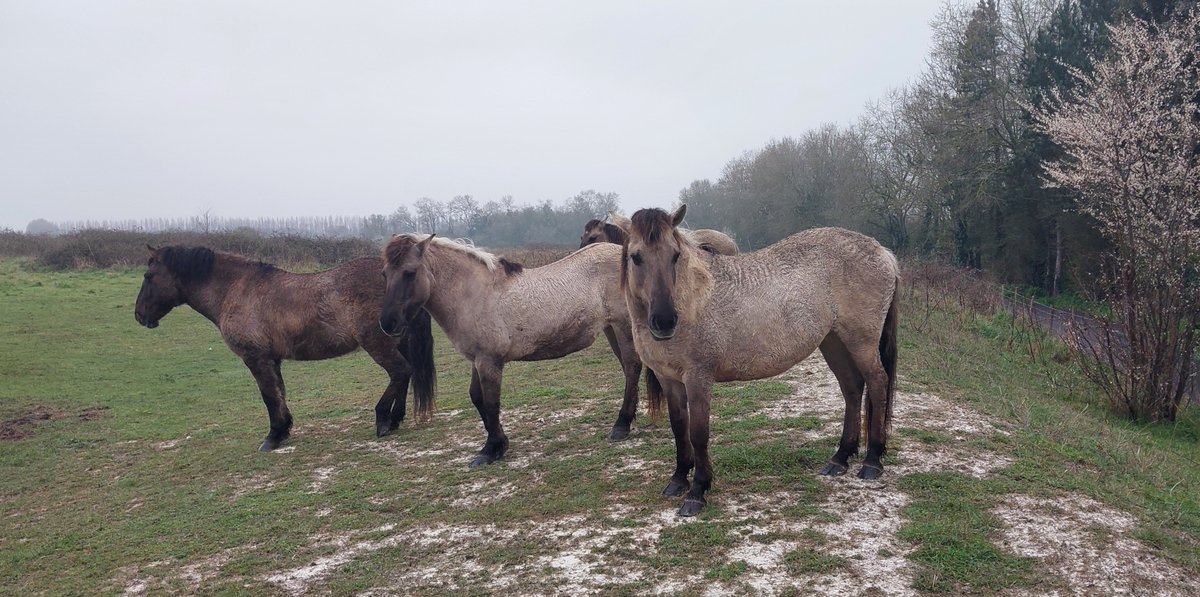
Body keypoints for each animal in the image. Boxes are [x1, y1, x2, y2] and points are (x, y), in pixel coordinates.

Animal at [136, 244, 436, 450]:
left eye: (148, 275)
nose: (139, 315)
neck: (237, 290)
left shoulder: (256, 358)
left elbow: (269, 396)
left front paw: (273, 436)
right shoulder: (272, 359)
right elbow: (279, 393)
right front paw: (284, 429)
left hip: (378, 343)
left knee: (400, 372)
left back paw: (383, 420)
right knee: (405, 374)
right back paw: (395, 419)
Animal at [624, 204, 897, 513]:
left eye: (674, 255)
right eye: (636, 257)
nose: (664, 321)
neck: (692, 296)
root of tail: (882, 251)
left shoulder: (698, 378)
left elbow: (698, 432)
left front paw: (697, 490)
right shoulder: (669, 379)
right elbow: (679, 428)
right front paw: (679, 478)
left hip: (861, 343)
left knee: (877, 383)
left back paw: (872, 461)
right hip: (834, 342)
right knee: (852, 388)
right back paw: (840, 458)